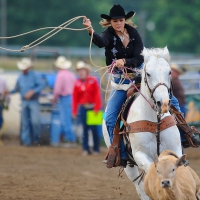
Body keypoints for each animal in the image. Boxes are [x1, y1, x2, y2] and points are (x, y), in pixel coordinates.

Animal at [103, 46, 183, 199]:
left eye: (169, 72)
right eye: (149, 74)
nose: (163, 103)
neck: (156, 123)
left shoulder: (175, 149)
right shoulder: (140, 155)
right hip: (128, 164)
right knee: (140, 186)